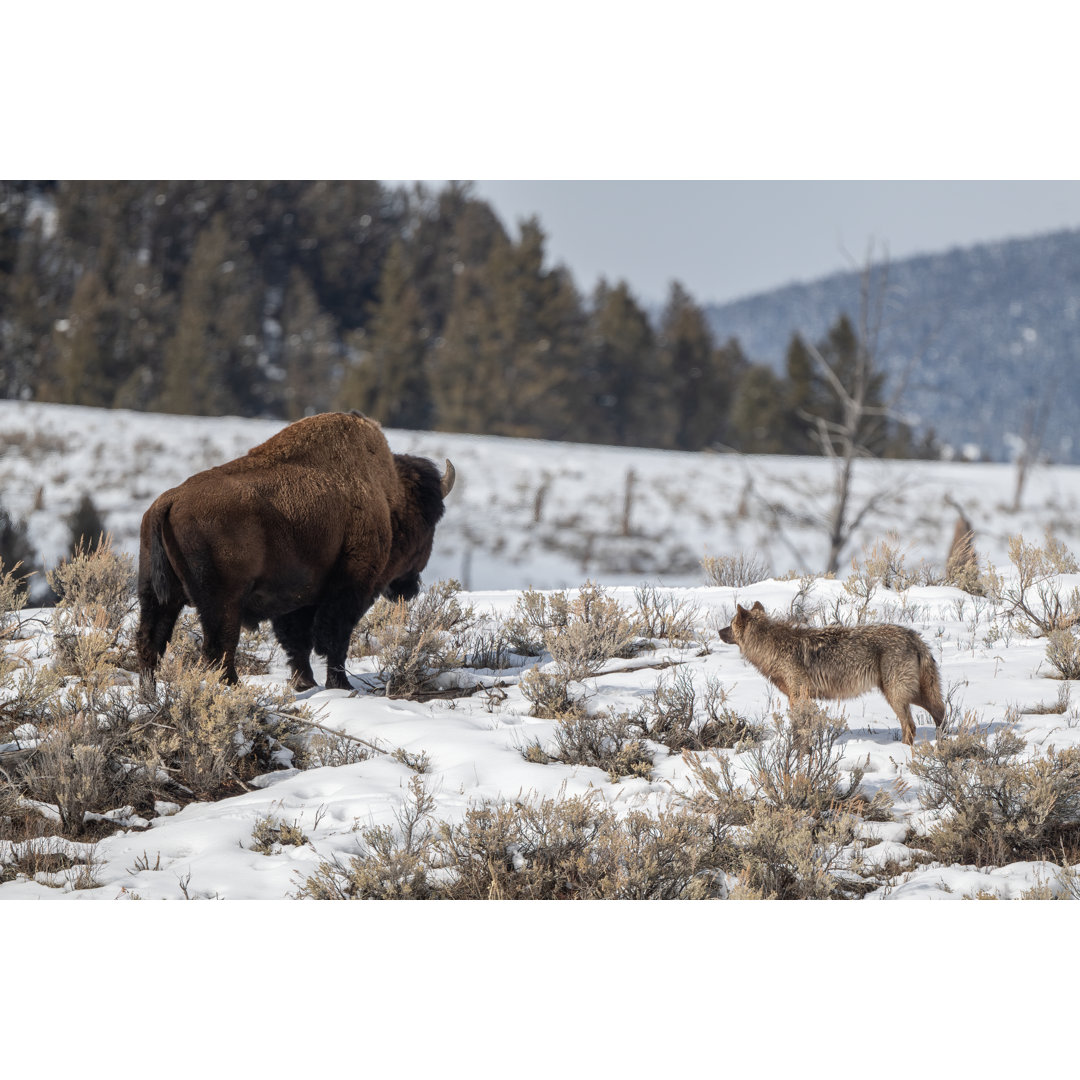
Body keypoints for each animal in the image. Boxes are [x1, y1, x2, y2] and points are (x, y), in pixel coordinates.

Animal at [136, 408, 455, 695]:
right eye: (429, 522)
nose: (410, 587)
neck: (387, 498)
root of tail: (169, 500)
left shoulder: (296, 598)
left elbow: (297, 641)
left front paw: (305, 684)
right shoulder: (349, 587)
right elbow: (334, 638)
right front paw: (341, 685)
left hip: (157, 596)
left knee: (150, 643)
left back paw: (149, 696)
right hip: (222, 601)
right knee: (217, 648)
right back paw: (236, 691)